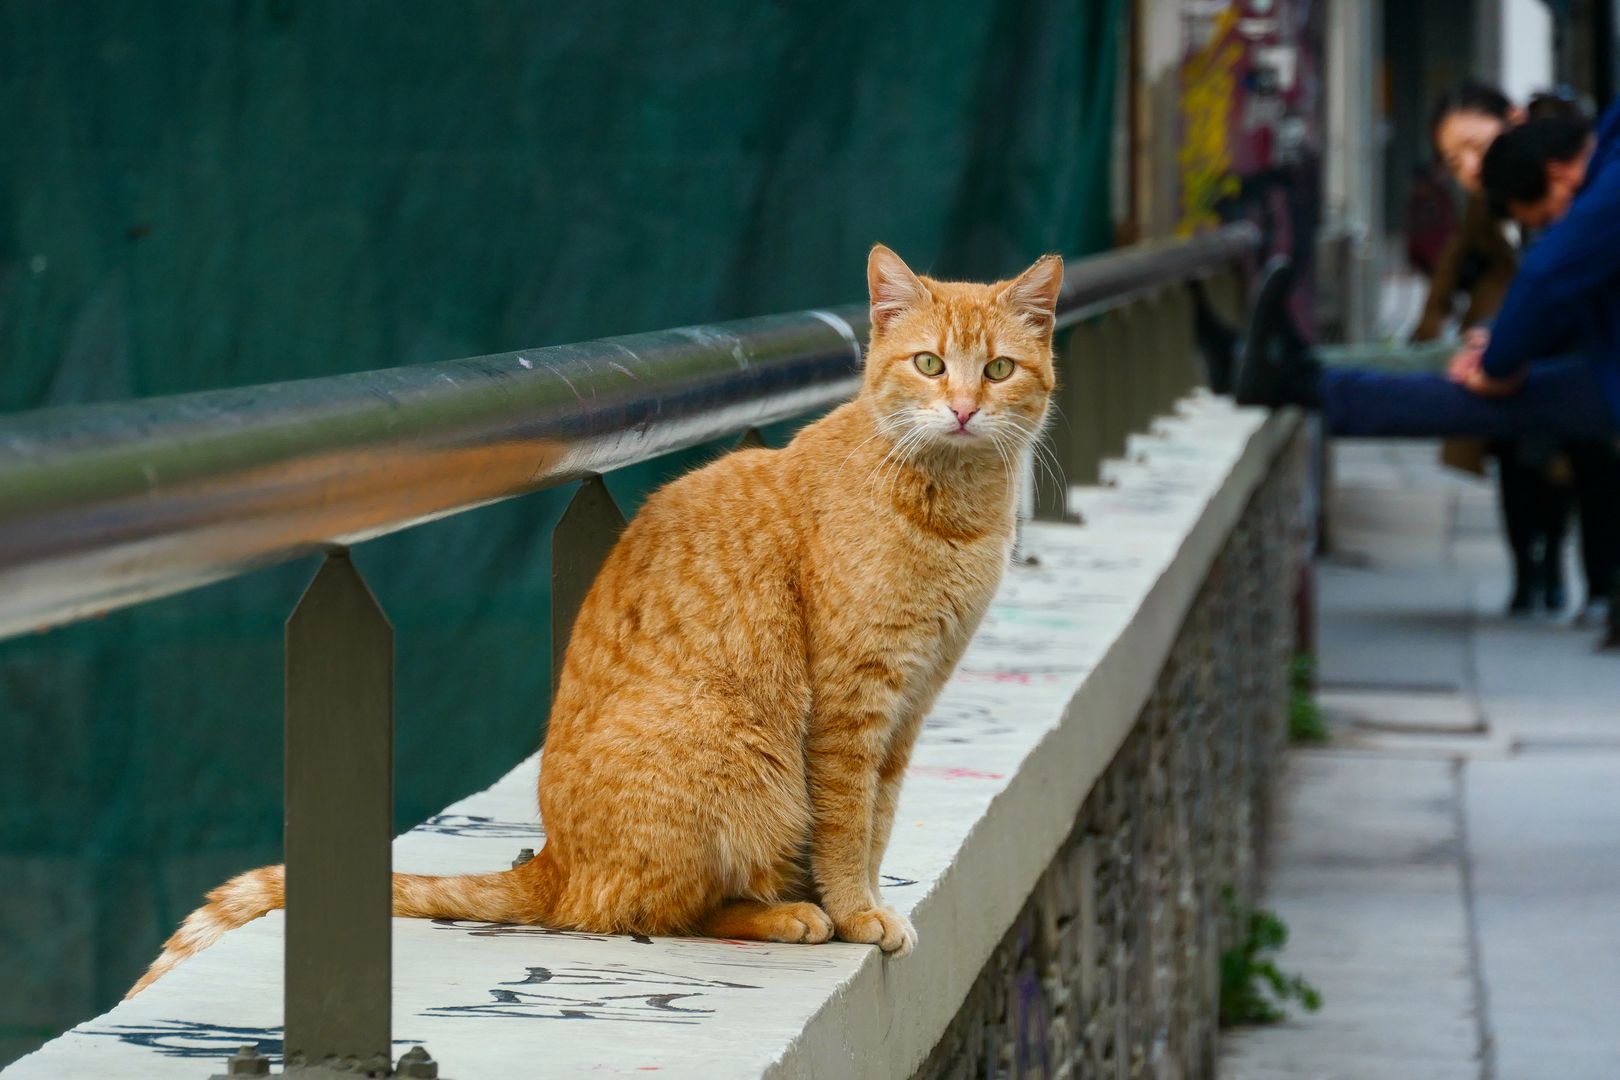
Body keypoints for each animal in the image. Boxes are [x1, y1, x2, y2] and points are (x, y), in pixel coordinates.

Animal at [129, 242, 1062, 997]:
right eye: (931, 364)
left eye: (999, 370)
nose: (965, 408)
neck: (951, 506)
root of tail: (554, 860)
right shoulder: (849, 707)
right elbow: (843, 827)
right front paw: (856, 912)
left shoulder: (907, 708)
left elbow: (877, 822)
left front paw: (869, 901)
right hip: (739, 761)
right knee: (637, 911)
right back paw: (785, 914)